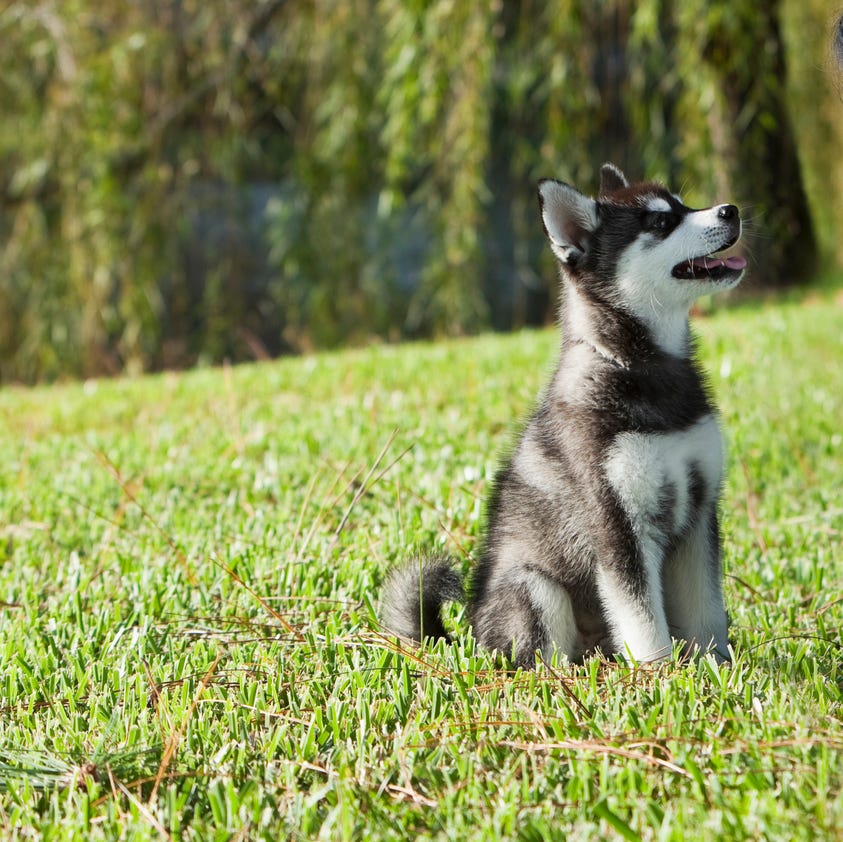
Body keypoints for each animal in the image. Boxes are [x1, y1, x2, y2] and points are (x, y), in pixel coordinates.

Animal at [382, 162, 744, 664]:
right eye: (659, 222)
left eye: (682, 203)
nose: (732, 209)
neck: (637, 366)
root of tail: (471, 641)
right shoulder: (616, 523)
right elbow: (642, 619)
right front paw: (660, 672)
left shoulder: (700, 512)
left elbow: (706, 610)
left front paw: (716, 667)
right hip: (533, 586)